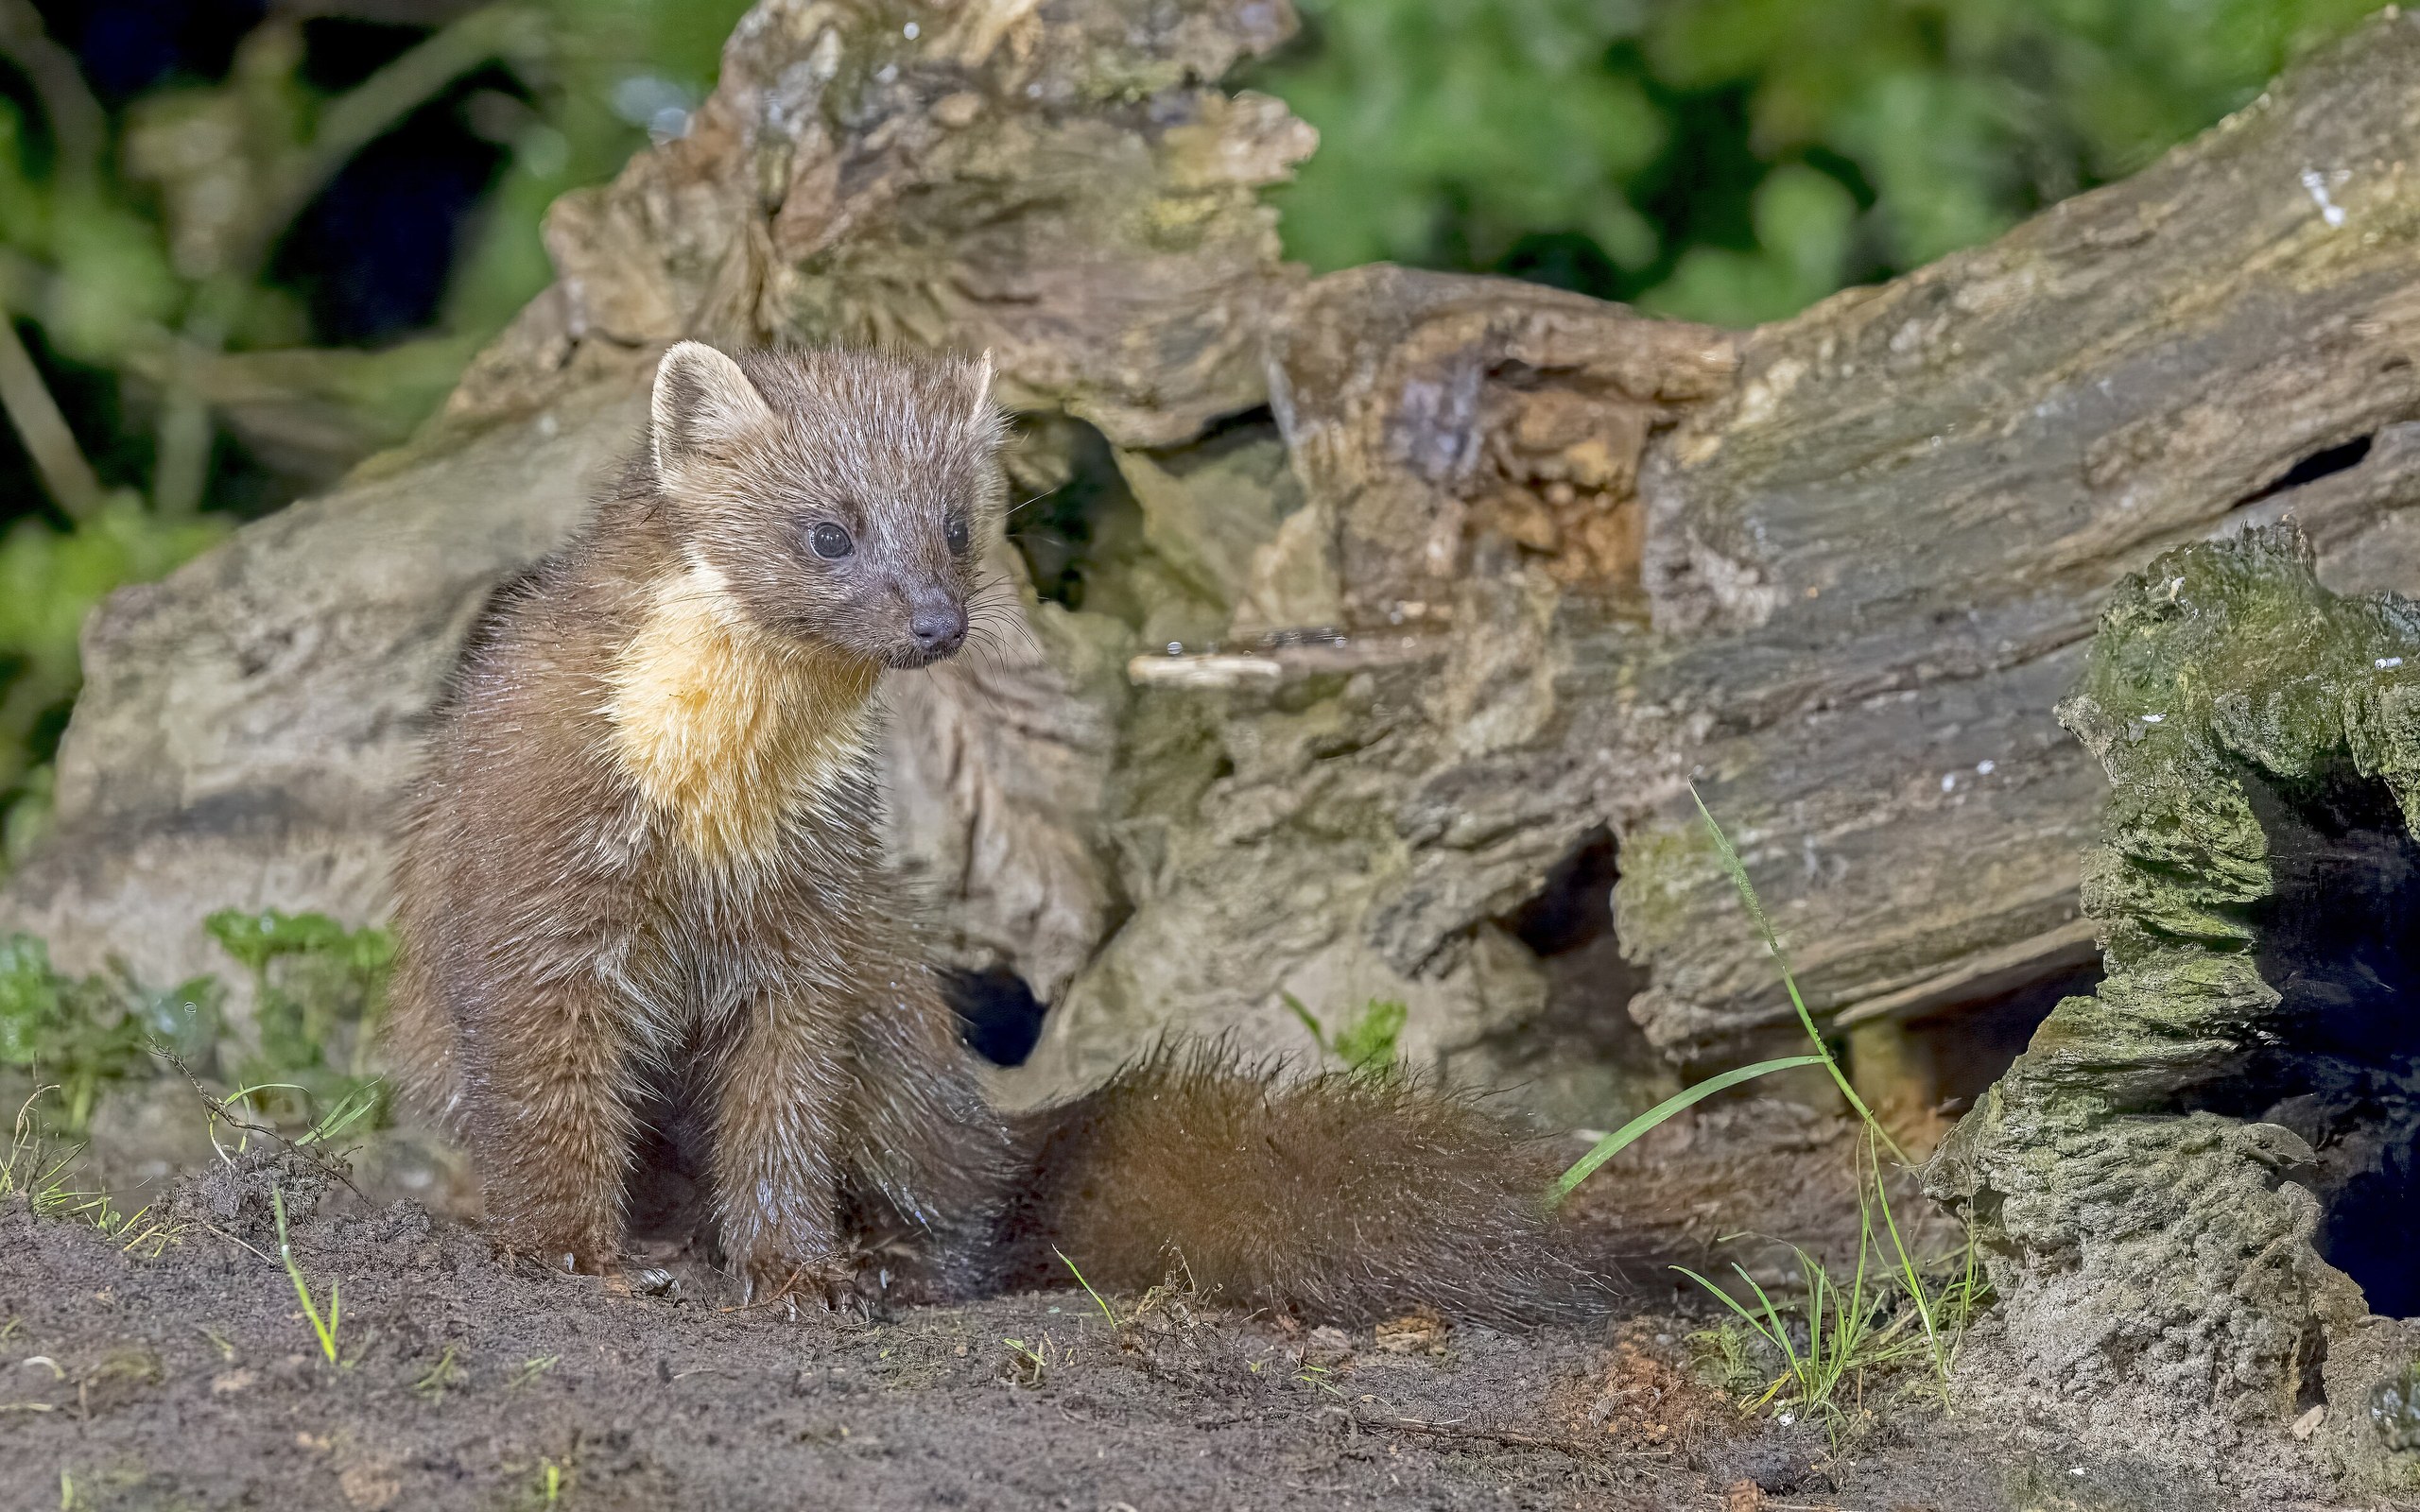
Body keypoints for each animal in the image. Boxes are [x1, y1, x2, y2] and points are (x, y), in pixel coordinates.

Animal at [386, 341, 1589, 1325]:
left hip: (895, 1025)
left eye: (959, 526)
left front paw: (799, 1272)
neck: (714, 816)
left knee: (971, 1198)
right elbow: (544, 1093)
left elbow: (784, 1113)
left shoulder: (812, 922)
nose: (936, 620)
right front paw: (575, 1252)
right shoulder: (538, 879)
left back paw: (888, 1260)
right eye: (829, 529)